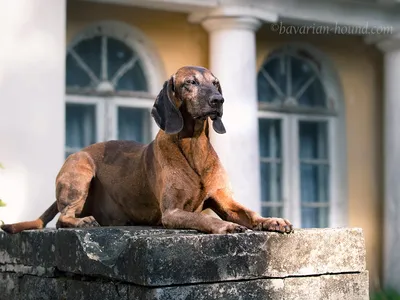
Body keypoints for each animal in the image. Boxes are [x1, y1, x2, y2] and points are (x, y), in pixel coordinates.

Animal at [0, 65, 294, 234]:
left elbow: (249, 213)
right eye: (190, 83)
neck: (194, 147)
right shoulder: (172, 212)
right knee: (63, 218)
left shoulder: (224, 199)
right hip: (79, 170)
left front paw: (272, 220)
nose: (218, 100)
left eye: (215, 83)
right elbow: (204, 220)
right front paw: (225, 225)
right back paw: (81, 221)